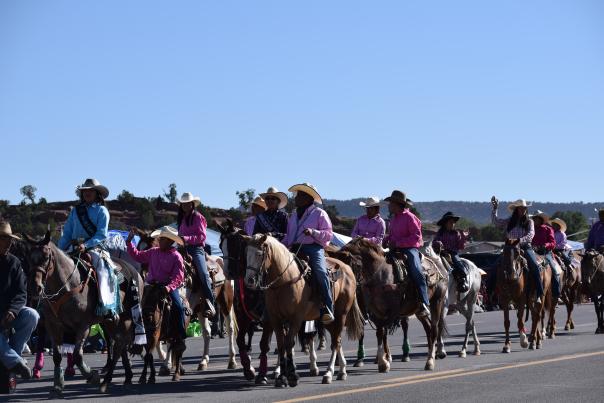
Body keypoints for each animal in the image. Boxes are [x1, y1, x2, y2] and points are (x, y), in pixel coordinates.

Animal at [25, 232, 146, 396]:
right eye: (29, 257)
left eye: (46, 256)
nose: (34, 287)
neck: (68, 286)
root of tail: (136, 272)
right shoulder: (53, 325)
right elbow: (57, 355)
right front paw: (58, 384)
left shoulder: (83, 326)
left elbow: (77, 355)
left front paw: (92, 376)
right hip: (112, 321)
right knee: (120, 344)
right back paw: (124, 376)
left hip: (128, 317)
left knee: (124, 343)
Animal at [242, 235, 364, 386]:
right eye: (246, 254)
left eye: (259, 254)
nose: (249, 280)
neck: (284, 282)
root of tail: (347, 268)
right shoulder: (276, 319)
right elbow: (281, 345)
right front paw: (281, 377)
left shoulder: (295, 319)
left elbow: (289, 343)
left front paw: (292, 376)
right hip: (327, 320)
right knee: (338, 340)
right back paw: (342, 371)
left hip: (341, 314)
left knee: (335, 342)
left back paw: (329, 373)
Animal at [340, 238, 448, 374]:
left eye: (353, 264)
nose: (348, 287)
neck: (380, 274)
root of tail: (439, 267)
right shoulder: (376, 312)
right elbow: (380, 333)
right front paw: (383, 362)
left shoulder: (391, 312)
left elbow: (383, 332)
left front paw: (384, 360)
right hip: (418, 310)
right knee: (428, 328)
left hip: (437, 302)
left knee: (434, 329)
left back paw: (430, 361)